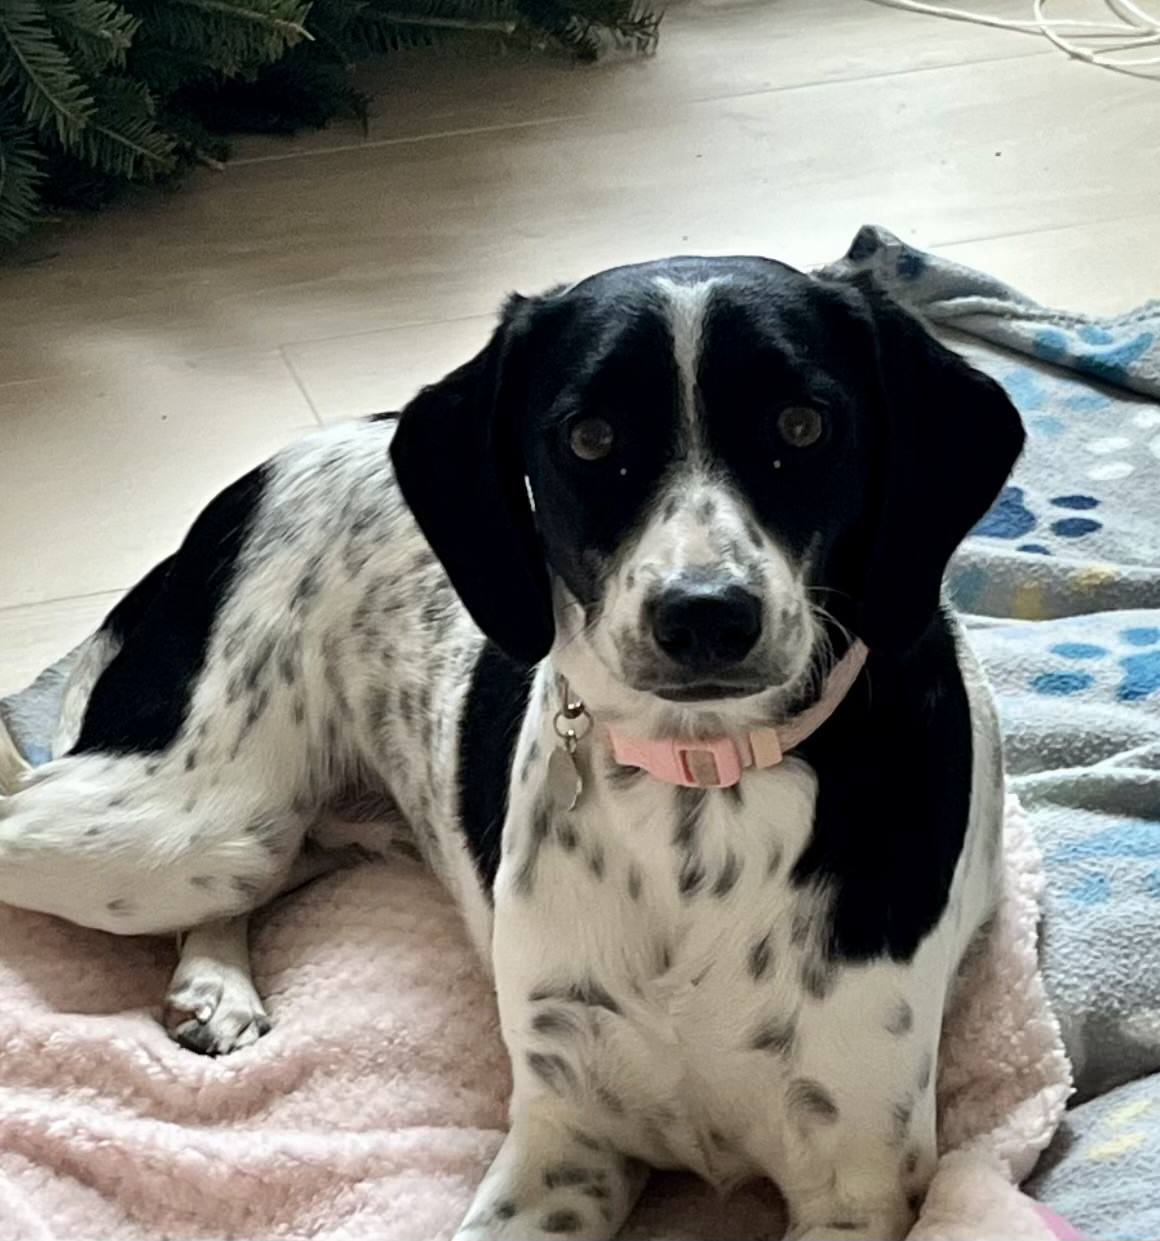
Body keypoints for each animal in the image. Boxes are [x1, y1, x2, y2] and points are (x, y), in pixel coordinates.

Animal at [0, 254, 1022, 1241]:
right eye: (589, 439)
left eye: (805, 425)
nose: (704, 614)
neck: (697, 791)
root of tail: (252, 480)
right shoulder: (563, 1141)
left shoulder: (851, 1185)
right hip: (190, 827)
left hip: (259, 832)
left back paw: (215, 980)